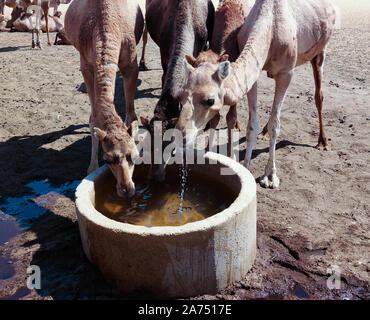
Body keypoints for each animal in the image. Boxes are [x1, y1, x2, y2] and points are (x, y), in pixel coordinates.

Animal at [65, 0, 143, 198]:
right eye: (107, 159)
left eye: (135, 155)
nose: (126, 190)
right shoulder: (86, 64)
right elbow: (93, 119)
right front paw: (91, 168)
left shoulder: (131, 64)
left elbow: (131, 115)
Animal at [139, 0, 215, 181]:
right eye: (146, 145)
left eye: (171, 145)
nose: (154, 176)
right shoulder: (164, 51)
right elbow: (164, 75)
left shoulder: (199, 49)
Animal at [176, 0, 338, 189]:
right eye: (180, 97)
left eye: (210, 100)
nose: (180, 136)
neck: (270, 28)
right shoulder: (254, 74)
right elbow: (251, 125)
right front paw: (245, 168)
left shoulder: (286, 73)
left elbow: (276, 125)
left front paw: (270, 176)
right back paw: (264, 132)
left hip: (320, 52)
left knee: (318, 96)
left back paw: (323, 142)